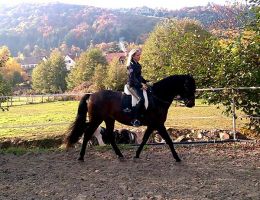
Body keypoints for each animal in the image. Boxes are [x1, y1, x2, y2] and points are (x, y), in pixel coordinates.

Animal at [64, 74, 195, 162]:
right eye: (187, 85)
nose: (191, 104)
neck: (157, 98)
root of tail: (91, 95)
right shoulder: (159, 124)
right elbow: (169, 140)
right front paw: (177, 158)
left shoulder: (152, 125)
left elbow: (144, 139)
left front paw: (136, 155)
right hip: (96, 119)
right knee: (87, 134)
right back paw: (81, 157)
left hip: (109, 119)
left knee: (110, 135)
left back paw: (120, 155)